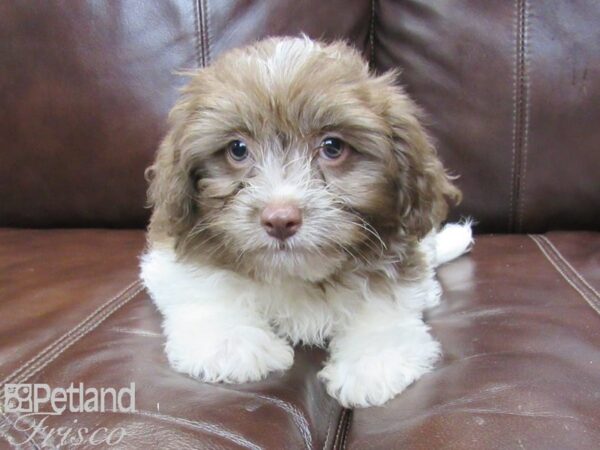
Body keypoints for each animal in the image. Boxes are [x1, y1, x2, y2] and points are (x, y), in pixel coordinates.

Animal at [138, 36, 472, 408]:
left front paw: (373, 361)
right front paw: (232, 343)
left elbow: (386, 302)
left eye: (333, 146)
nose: (280, 220)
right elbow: (204, 289)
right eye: (237, 149)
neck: (295, 275)